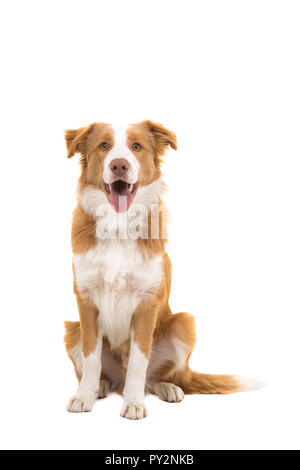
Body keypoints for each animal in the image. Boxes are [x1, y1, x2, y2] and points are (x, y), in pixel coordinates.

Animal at [63, 120, 260, 418]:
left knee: (154, 378)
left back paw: (168, 388)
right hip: (72, 330)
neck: (119, 228)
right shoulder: (85, 302)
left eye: (136, 146)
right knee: (105, 373)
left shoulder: (147, 303)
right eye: (104, 146)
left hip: (182, 324)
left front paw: (133, 403)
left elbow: (138, 362)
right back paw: (101, 386)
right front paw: (84, 396)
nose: (119, 165)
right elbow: (91, 358)